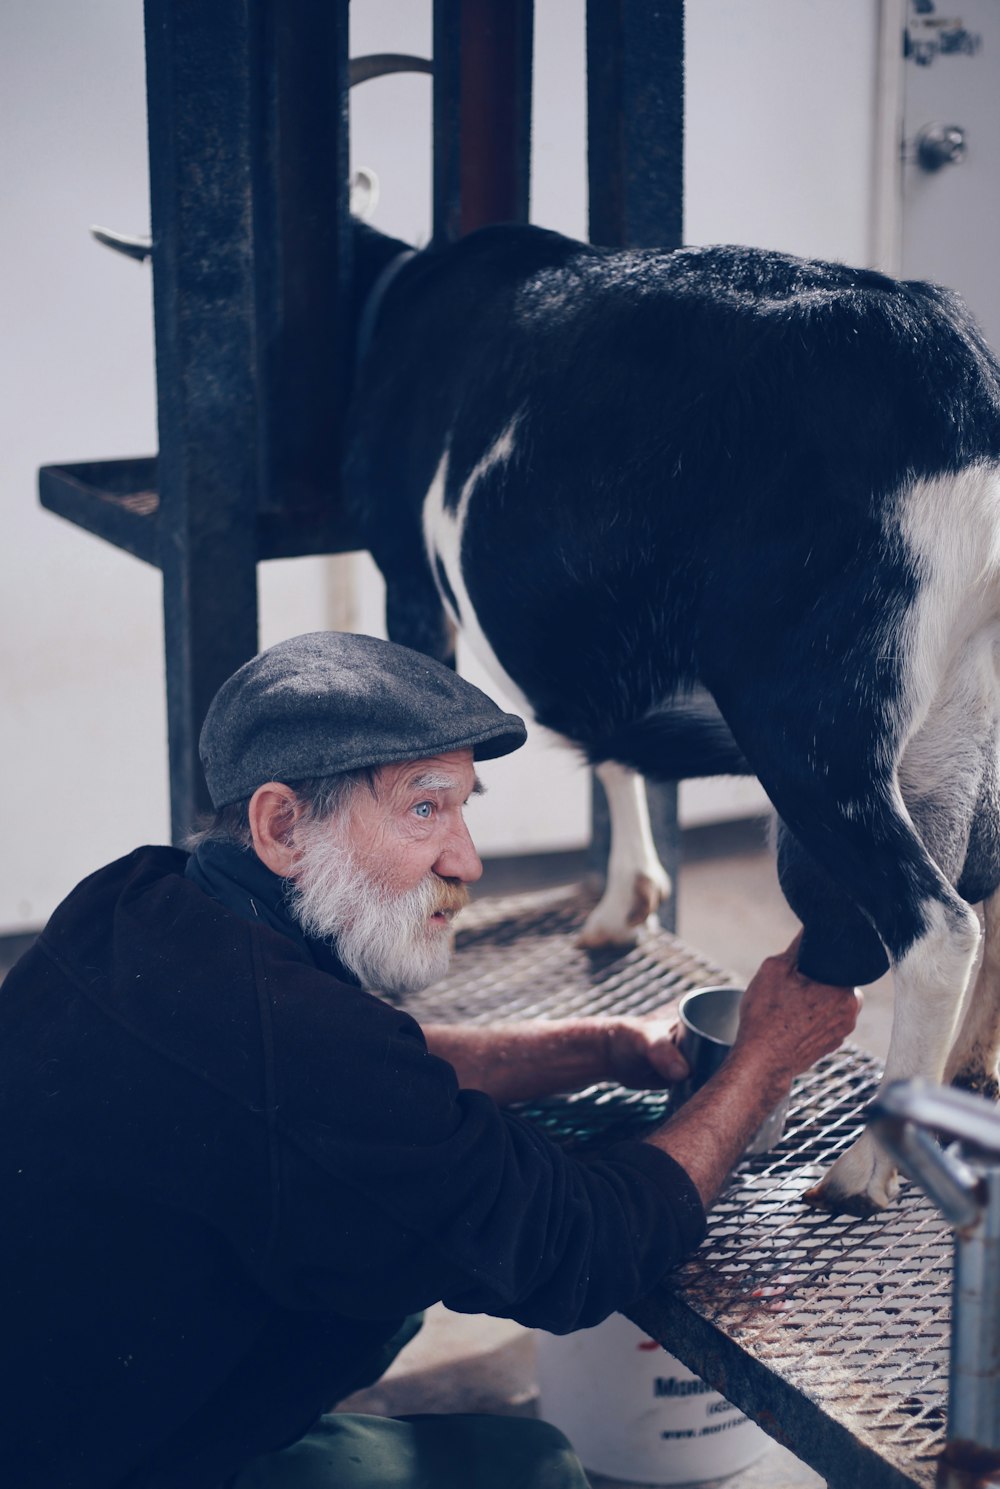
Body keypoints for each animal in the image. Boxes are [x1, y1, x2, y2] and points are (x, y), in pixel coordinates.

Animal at [343, 223, 1000, 1220]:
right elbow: (613, 751)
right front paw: (626, 898)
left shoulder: (411, 579)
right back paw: (965, 1083)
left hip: (812, 717)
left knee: (938, 927)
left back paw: (865, 1169)